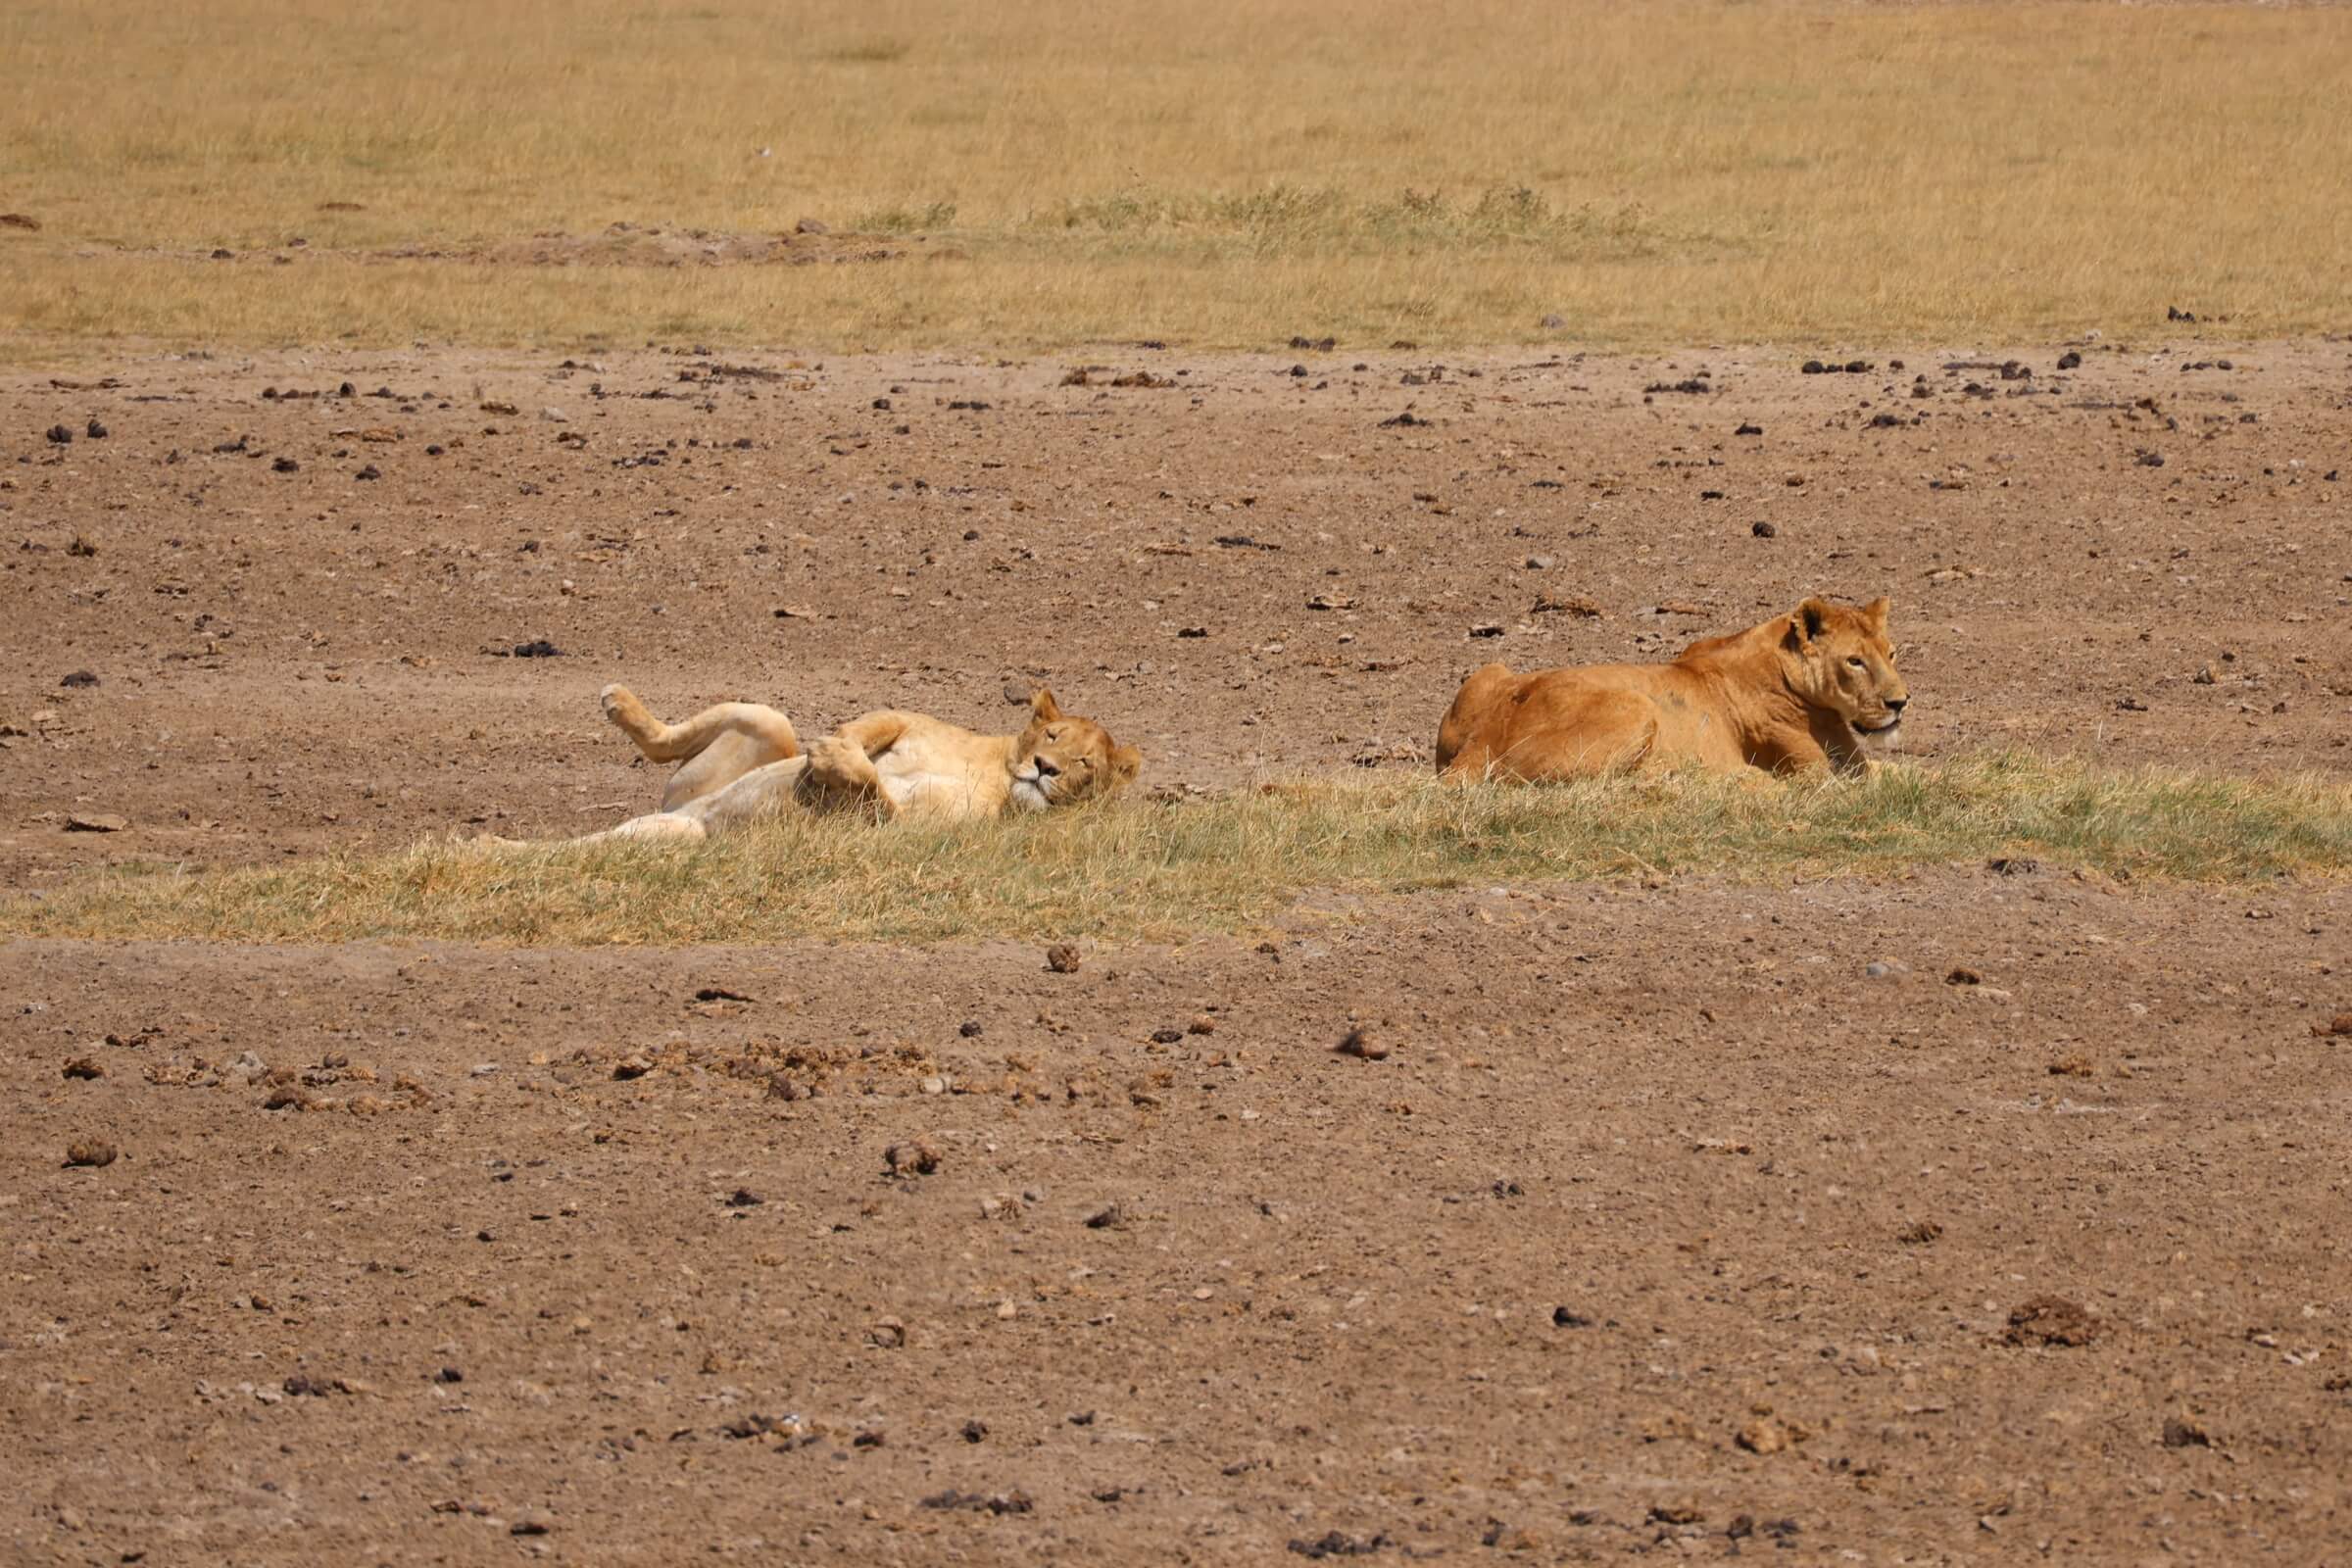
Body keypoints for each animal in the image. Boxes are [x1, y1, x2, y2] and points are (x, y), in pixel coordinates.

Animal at [528, 684, 1141, 845]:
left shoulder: (915, 831)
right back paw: (620, 702)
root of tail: (692, 816)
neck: (996, 772)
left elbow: (876, 794)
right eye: (1052, 734)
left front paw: (832, 762)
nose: (1045, 767)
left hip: (676, 835)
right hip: (769, 722)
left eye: (1084, 764)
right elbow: (865, 731)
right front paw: (829, 749)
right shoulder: (906, 717)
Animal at [1433, 596, 1908, 781]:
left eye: (1891, 653)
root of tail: (1483, 738)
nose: (1900, 702)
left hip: (1489, 671)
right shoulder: (1820, 775)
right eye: (1854, 661)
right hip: (1637, 706)